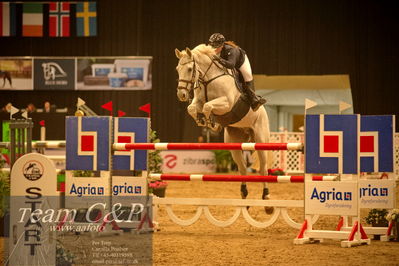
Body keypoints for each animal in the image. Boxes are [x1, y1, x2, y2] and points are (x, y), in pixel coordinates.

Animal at [176, 45, 274, 212]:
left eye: (189, 69)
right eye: (177, 69)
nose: (181, 94)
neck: (207, 79)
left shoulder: (226, 104)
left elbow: (208, 106)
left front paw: (211, 123)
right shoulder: (198, 101)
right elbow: (192, 108)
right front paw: (204, 121)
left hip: (261, 139)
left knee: (263, 169)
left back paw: (267, 200)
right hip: (234, 143)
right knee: (242, 169)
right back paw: (244, 197)